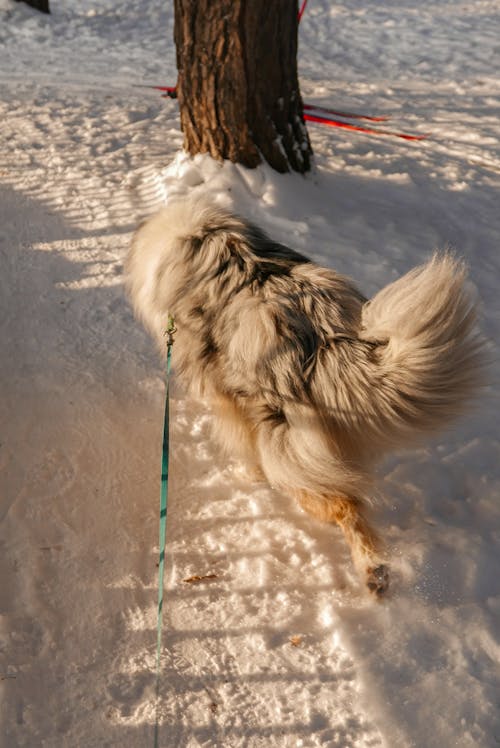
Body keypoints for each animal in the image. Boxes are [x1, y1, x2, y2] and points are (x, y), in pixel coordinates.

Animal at [126, 199, 484, 596]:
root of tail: (321, 339)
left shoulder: (223, 393)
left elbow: (237, 436)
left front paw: (247, 473)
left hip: (287, 447)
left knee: (344, 506)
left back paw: (372, 571)